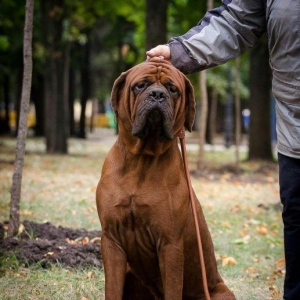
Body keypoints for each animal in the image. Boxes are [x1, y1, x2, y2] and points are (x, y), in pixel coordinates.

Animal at [96, 58, 237, 300]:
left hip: (221, 294)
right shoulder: (111, 240)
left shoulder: (170, 245)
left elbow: (173, 288)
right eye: (140, 86)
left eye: (172, 90)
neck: (141, 160)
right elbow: (112, 289)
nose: (157, 94)